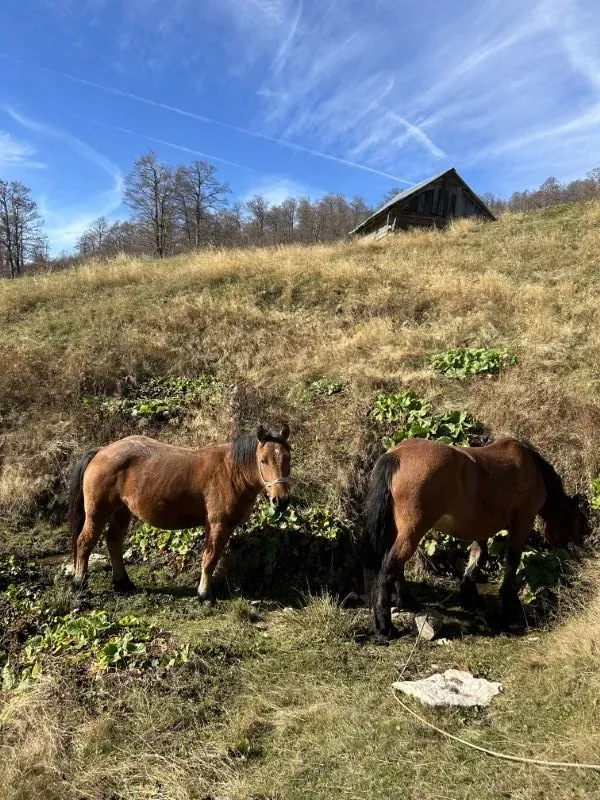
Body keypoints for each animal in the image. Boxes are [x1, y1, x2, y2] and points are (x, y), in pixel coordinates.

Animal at [68, 424, 291, 602]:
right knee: (84, 542)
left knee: (113, 541)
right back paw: (79, 583)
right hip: (97, 513)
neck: (231, 472)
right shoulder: (217, 525)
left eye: (288, 458)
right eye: (263, 460)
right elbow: (210, 559)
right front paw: (204, 594)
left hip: (121, 512)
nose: (281, 500)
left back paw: (123, 583)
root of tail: (101, 451)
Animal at [363, 436, 589, 638]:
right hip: (412, 532)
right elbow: (511, 562)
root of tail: (396, 455)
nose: (578, 547)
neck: (533, 469)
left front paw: (468, 591)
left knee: (397, 568)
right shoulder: (522, 524)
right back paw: (385, 628)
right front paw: (509, 605)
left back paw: (407, 602)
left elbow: (477, 554)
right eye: (578, 521)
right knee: (388, 570)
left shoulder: (481, 527)